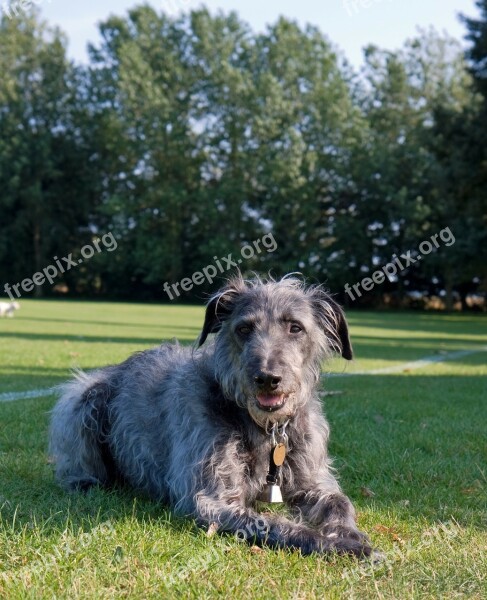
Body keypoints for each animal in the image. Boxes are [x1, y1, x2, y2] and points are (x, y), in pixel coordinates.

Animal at [49, 276, 374, 556]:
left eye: (296, 327)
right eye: (244, 329)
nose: (267, 378)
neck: (264, 428)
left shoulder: (312, 481)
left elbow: (340, 501)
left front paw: (347, 533)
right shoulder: (212, 499)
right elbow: (276, 524)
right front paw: (336, 544)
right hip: (82, 399)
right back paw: (85, 481)